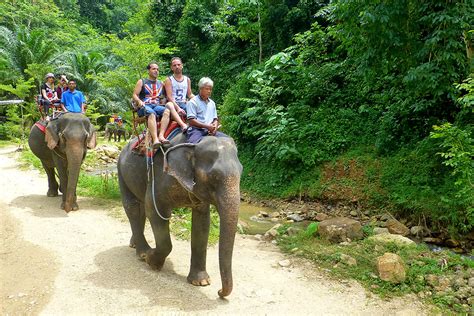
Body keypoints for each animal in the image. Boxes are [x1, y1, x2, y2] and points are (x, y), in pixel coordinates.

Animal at [118, 134, 243, 298]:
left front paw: (201, 282)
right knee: (132, 206)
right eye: (214, 177)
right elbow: (154, 210)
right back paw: (143, 253)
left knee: (140, 206)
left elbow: (202, 222)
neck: (194, 145)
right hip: (121, 171)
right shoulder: (161, 174)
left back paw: (133, 245)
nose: (219, 292)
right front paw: (151, 261)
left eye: (241, 173)